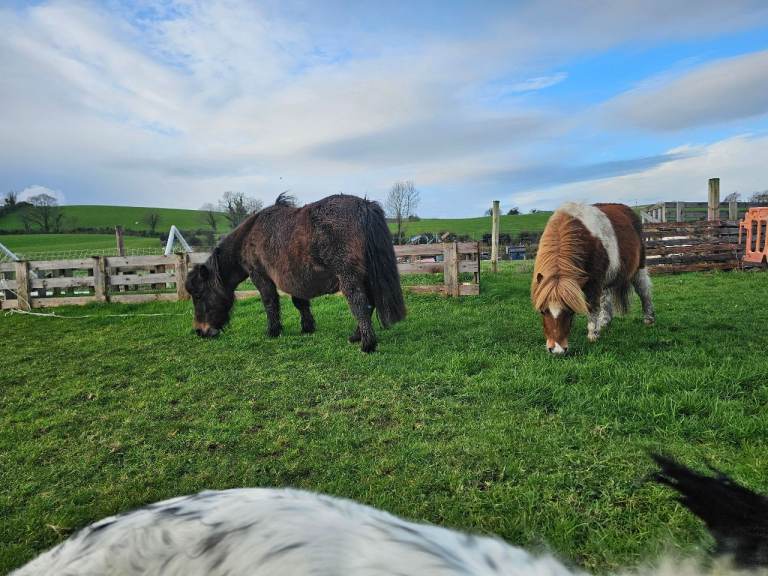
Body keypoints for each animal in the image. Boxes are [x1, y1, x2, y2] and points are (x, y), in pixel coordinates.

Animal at [185, 193, 405, 353]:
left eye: (198, 295)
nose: (200, 331)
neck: (248, 237)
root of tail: (364, 206)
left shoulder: (260, 276)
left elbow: (270, 303)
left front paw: (273, 331)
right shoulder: (296, 277)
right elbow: (300, 303)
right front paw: (307, 327)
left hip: (349, 277)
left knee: (359, 304)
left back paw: (367, 344)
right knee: (369, 304)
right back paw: (356, 336)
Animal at [531, 202, 655, 354]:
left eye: (570, 311)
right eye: (543, 311)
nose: (557, 350)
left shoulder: (594, 282)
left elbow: (593, 307)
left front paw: (593, 335)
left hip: (639, 268)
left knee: (644, 290)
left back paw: (648, 319)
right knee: (606, 296)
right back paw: (605, 321)